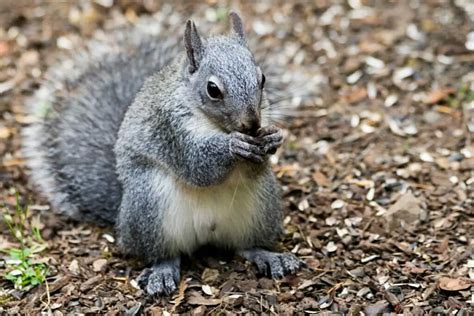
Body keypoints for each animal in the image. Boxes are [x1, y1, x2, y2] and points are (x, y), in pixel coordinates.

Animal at [22, 11, 304, 294]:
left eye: (262, 79)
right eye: (213, 89)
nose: (252, 124)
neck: (216, 125)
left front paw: (273, 138)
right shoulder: (170, 130)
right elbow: (198, 166)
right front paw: (233, 146)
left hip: (262, 207)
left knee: (246, 246)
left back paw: (269, 256)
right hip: (149, 208)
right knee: (164, 253)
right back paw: (162, 271)